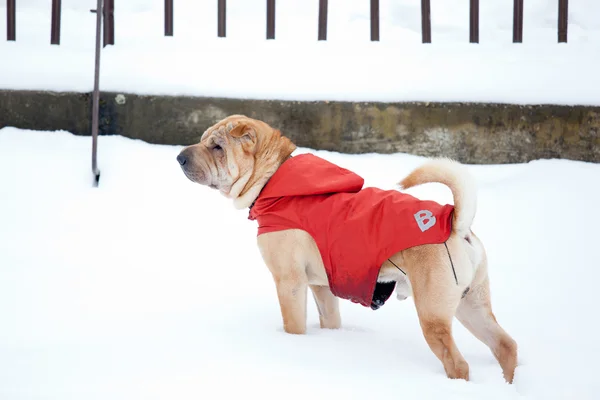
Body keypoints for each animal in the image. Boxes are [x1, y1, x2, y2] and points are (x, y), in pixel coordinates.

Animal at [176, 114, 516, 382]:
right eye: (203, 140)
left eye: (217, 147)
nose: (179, 157)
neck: (271, 180)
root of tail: (455, 222)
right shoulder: (321, 286)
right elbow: (330, 319)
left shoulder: (289, 282)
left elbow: (293, 325)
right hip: (471, 305)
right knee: (505, 345)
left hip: (434, 314)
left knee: (458, 363)